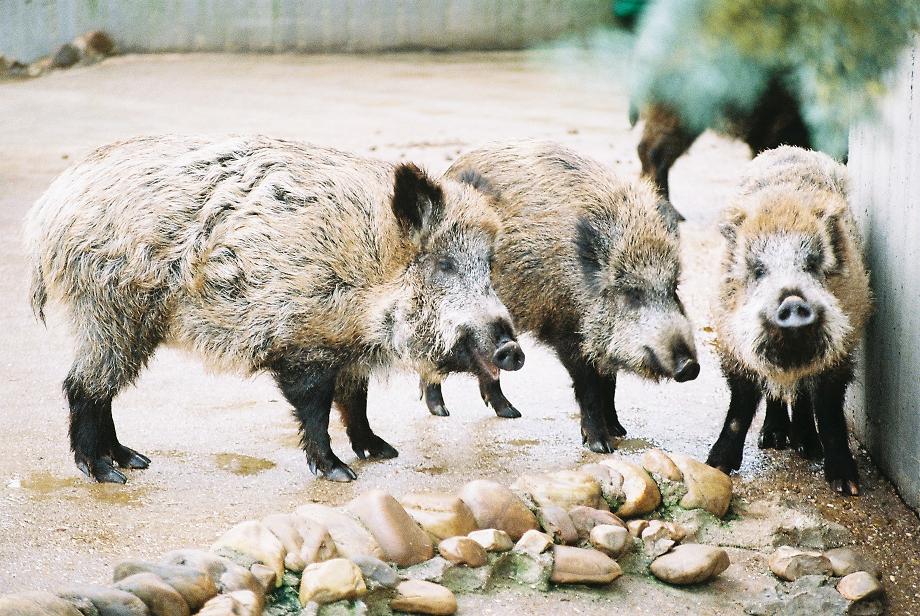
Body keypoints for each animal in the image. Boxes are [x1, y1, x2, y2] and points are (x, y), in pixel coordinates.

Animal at [25, 135, 523, 483]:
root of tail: (50, 205)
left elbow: (355, 400)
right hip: (108, 310)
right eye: (444, 264)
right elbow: (316, 408)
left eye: (488, 264)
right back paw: (108, 474)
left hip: (126, 322)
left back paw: (134, 460)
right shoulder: (302, 343)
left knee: (102, 390)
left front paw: (384, 451)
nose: (513, 350)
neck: (368, 269)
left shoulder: (348, 348)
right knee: (82, 387)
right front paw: (340, 473)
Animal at [418, 141, 700, 452]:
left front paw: (619, 430)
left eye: (673, 288)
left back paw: (511, 413)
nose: (691, 366)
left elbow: (609, 383)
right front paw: (601, 446)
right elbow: (590, 388)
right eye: (632, 293)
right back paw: (442, 411)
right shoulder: (566, 329)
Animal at [705, 146, 872, 495]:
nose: (793, 301)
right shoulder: (731, 350)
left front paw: (847, 486)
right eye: (758, 270)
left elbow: (830, 412)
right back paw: (772, 440)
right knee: (776, 395)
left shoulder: (840, 356)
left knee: (802, 397)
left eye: (812, 264)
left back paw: (805, 447)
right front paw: (715, 467)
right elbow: (740, 407)